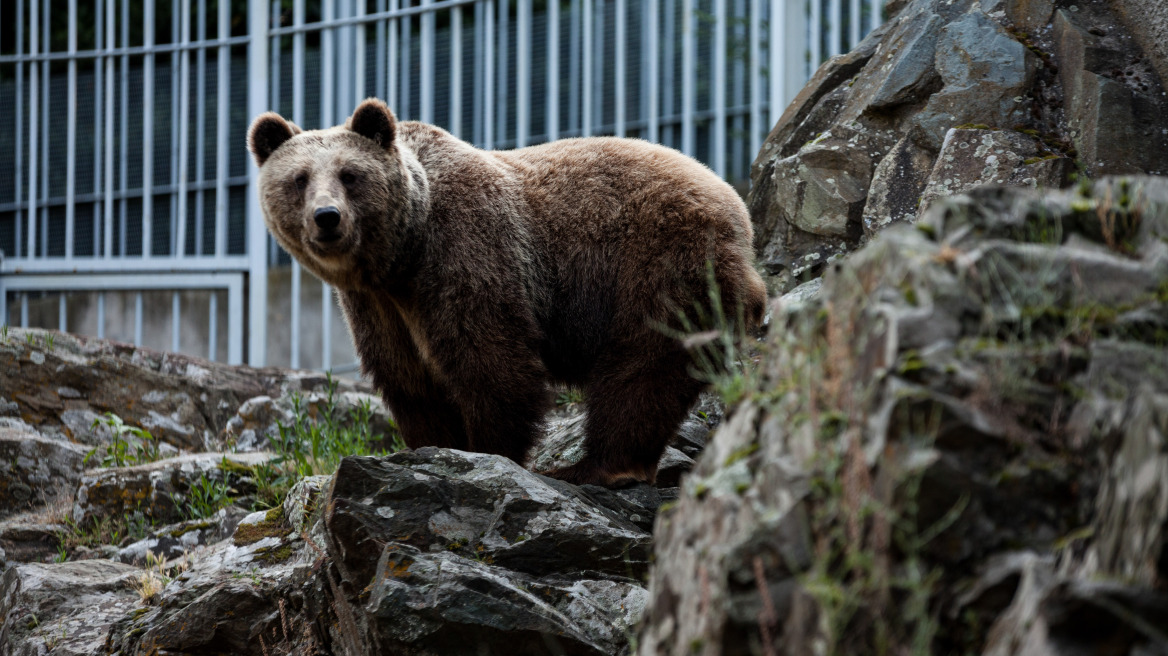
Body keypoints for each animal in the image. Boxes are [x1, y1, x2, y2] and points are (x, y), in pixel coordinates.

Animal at [248, 96, 766, 485]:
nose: (327, 217)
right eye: (299, 179)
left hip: (659, 259)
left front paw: (488, 453)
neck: (402, 256)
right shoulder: (377, 307)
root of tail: (738, 208)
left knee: (643, 365)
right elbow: (409, 379)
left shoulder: (468, 254)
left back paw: (596, 466)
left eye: (350, 175)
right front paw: (432, 445)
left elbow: (491, 362)